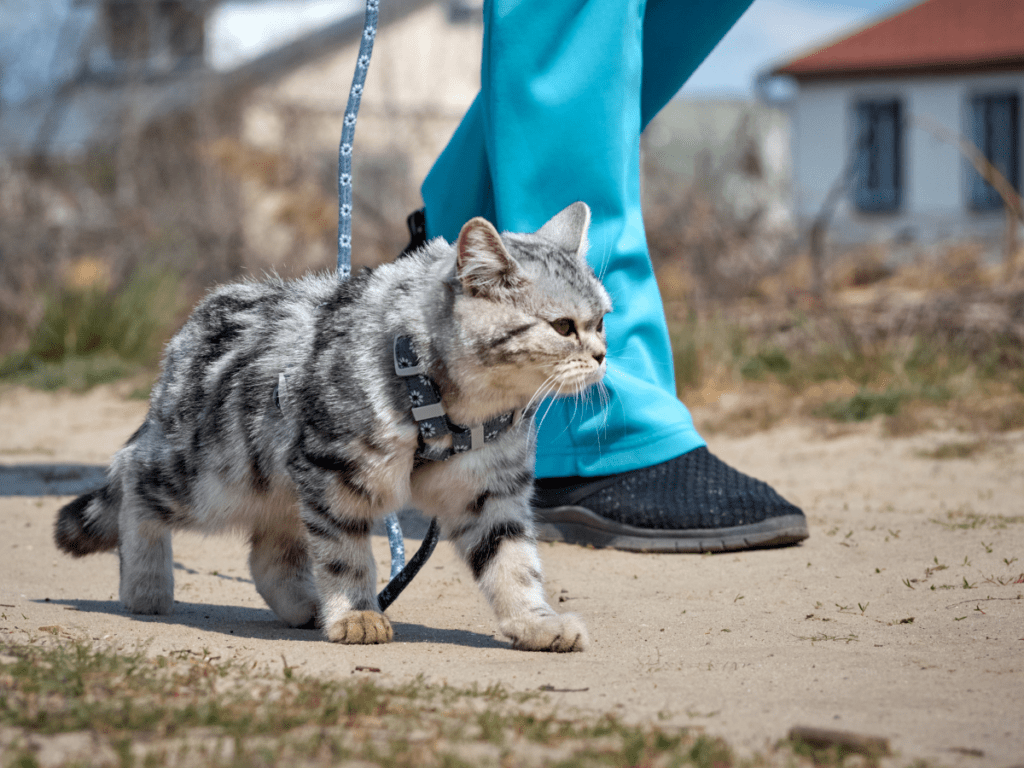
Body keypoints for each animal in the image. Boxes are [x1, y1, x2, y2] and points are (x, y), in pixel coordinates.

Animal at [54, 201, 606, 651]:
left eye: (602, 320)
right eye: (563, 327)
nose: (603, 355)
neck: (455, 407)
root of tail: (192, 326)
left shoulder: (491, 491)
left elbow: (513, 562)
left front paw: (536, 622)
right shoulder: (334, 472)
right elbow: (345, 555)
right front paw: (357, 614)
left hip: (274, 482)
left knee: (270, 554)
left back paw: (306, 607)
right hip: (212, 479)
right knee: (134, 476)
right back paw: (145, 585)